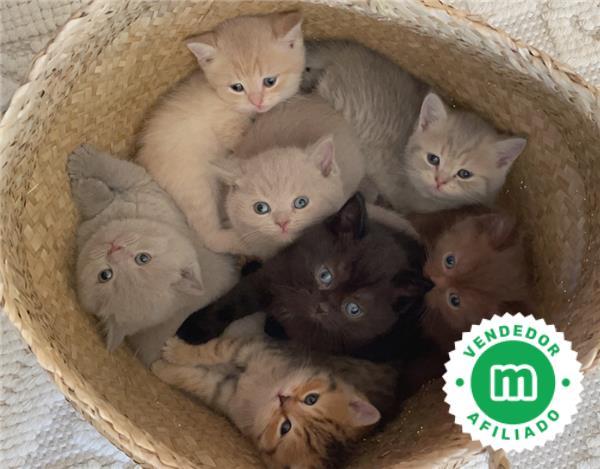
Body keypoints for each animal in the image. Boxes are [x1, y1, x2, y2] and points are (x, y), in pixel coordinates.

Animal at [68, 145, 237, 355]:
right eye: (105, 275)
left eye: (142, 258)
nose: (114, 249)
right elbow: (99, 201)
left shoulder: (140, 182)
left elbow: (113, 170)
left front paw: (82, 163)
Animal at [137, 12, 305, 255]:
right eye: (237, 87)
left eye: (270, 81)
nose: (257, 101)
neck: (224, 99)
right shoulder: (227, 128)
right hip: (194, 183)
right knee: (208, 237)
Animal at [152, 334, 394, 469]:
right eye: (311, 399)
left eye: (285, 427)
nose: (282, 399)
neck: (264, 389)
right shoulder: (253, 349)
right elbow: (215, 349)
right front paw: (177, 352)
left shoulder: (227, 395)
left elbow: (199, 381)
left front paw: (163, 369)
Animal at [176, 193, 433, 358]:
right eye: (325, 275)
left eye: (353, 309)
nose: (322, 307)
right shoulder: (273, 272)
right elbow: (234, 302)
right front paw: (197, 327)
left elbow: (289, 332)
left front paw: (275, 323)